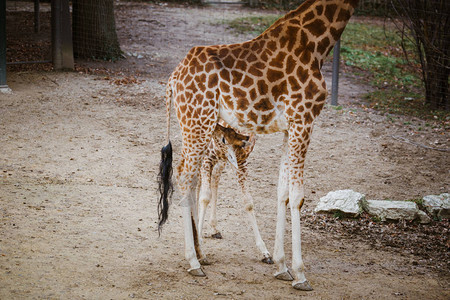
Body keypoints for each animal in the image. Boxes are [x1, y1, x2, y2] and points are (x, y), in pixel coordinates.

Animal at [198, 124, 274, 264]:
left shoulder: (240, 161)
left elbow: (248, 202)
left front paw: (265, 252)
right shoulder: (208, 157)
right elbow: (205, 197)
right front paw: (199, 250)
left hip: (221, 160)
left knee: (215, 176)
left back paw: (214, 229)